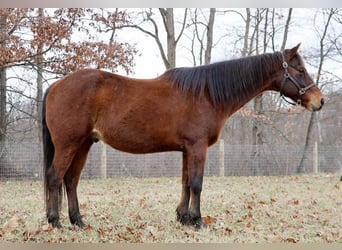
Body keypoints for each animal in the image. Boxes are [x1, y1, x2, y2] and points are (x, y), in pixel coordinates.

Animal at [42, 43, 324, 229]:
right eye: (299, 70)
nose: (320, 101)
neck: (207, 93)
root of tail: (56, 85)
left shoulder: (188, 149)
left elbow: (186, 182)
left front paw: (183, 218)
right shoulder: (198, 147)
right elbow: (197, 183)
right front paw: (198, 220)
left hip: (84, 144)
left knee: (71, 180)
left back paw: (78, 221)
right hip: (68, 144)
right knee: (55, 177)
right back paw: (55, 222)